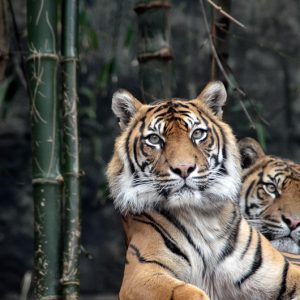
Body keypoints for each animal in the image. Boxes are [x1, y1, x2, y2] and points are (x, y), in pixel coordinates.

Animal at [108, 81, 300, 300]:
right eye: (155, 139)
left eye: (197, 134)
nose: (184, 169)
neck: (203, 217)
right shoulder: (141, 273)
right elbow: (190, 292)